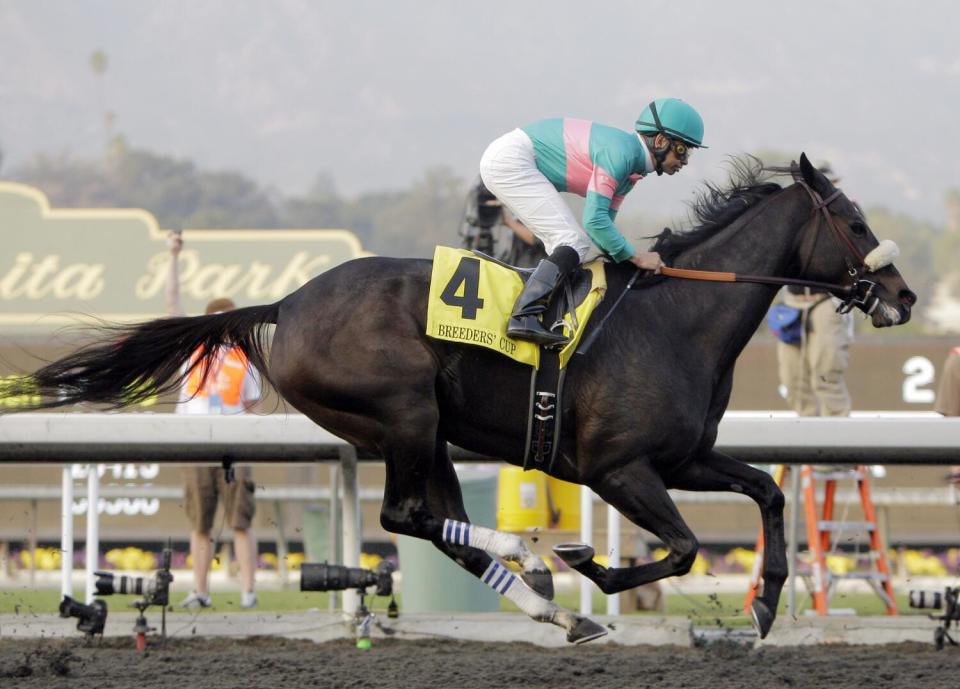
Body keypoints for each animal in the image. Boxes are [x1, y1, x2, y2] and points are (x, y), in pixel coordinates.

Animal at [1, 153, 916, 644]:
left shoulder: (683, 456)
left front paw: (763, 603)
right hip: (404, 412)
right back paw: (536, 557)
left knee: (429, 519)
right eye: (856, 221)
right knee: (406, 514)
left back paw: (552, 605)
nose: (903, 295)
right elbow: (687, 546)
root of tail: (285, 303)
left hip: (425, 428)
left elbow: (765, 491)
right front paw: (595, 567)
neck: (676, 318)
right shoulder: (619, 468)